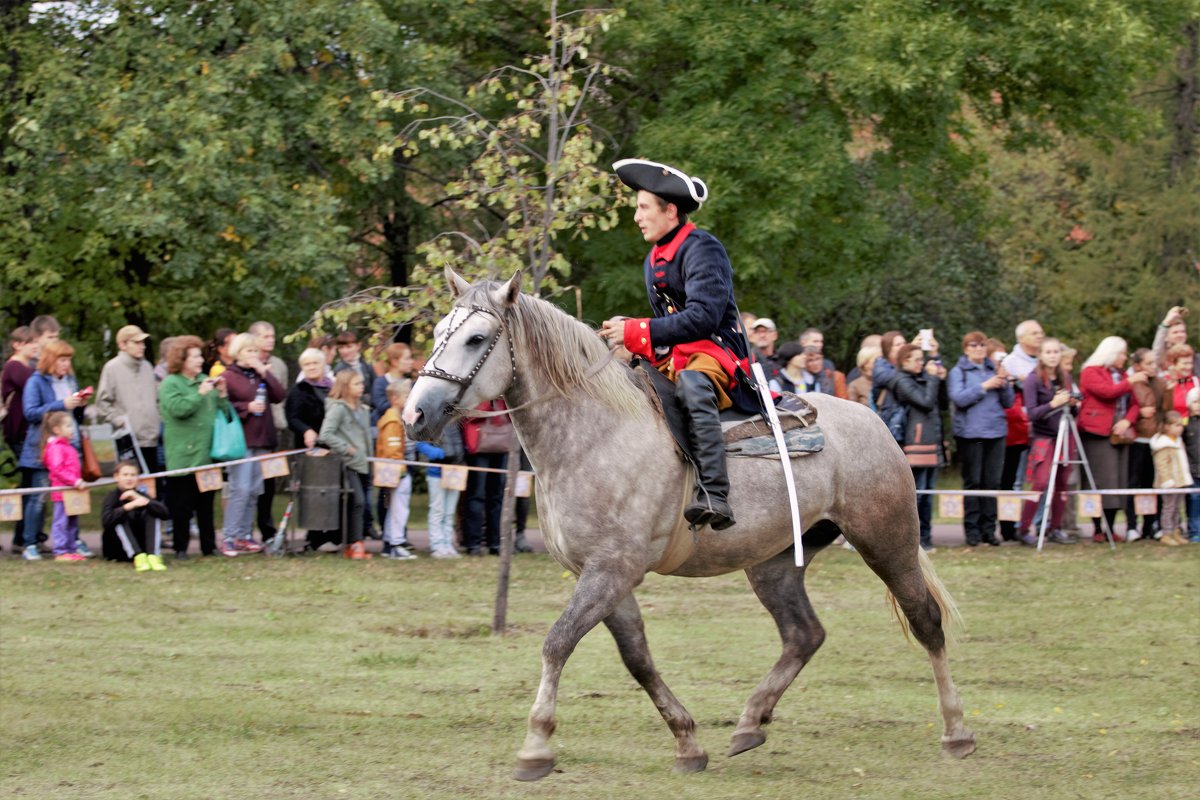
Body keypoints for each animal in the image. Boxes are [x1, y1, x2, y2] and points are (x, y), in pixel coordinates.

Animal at [403, 268, 974, 782]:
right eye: (438, 333)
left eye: (477, 338)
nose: (414, 416)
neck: (594, 434)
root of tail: (874, 420)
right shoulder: (605, 575)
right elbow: (637, 658)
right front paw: (687, 742)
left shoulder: (611, 570)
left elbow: (558, 642)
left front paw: (536, 746)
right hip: (774, 563)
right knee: (803, 634)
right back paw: (750, 722)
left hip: (886, 541)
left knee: (925, 621)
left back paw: (956, 731)